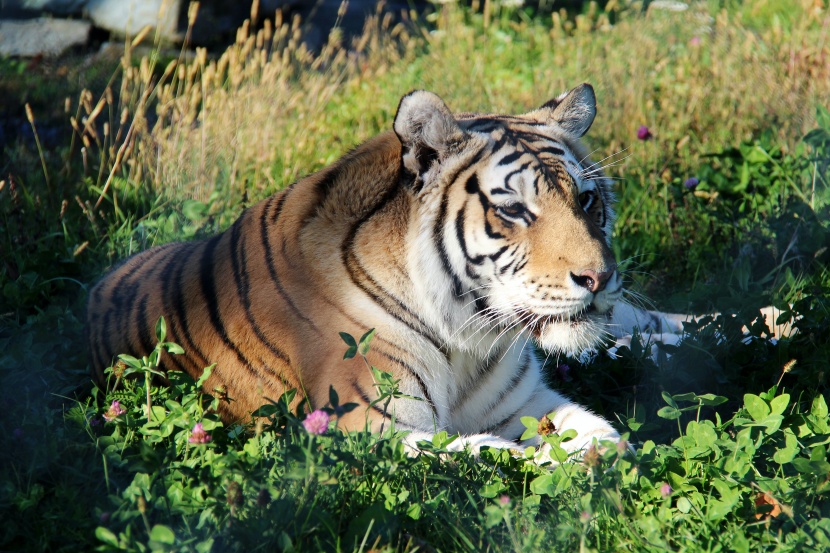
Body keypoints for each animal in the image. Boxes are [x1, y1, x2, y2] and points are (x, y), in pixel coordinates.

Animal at [84, 83, 792, 462]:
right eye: (514, 210)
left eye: (588, 200)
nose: (598, 278)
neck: (470, 336)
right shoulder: (365, 427)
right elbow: (481, 454)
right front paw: (551, 466)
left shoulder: (528, 400)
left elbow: (602, 434)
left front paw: (591, 458)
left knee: (660, 325)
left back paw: (770, 322)